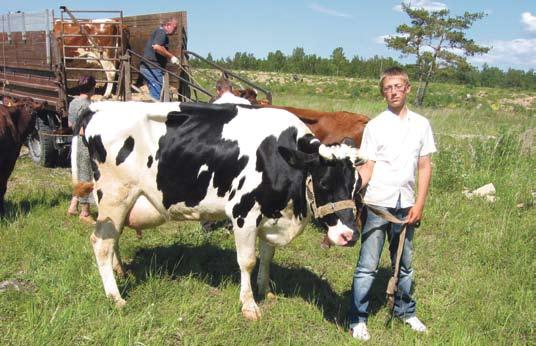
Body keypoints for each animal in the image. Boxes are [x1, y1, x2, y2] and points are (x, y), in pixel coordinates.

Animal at [78, 101, 364, 320]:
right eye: (325, 183)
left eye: (357, 187)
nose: (350, 236)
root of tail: (99, 107)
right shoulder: (244, 213)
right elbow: (247, 261)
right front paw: (249, 305)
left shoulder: (270, 214)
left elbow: (267, 256)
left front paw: (265, 290)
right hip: (115, 195)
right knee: (100, 242)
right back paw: (115, 297)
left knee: (113, 238)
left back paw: (120, 271)